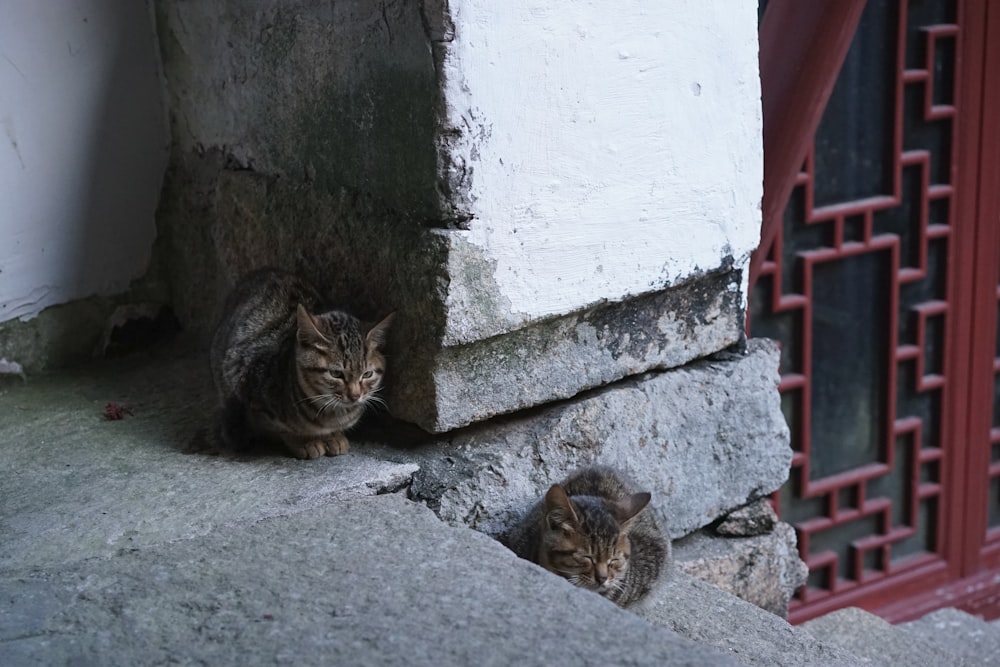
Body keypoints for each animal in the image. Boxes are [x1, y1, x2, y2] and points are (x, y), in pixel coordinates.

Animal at [209, 266, 392, 460]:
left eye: (367, 374)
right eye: (336, 374)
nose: (355, 396)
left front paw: (333, 436)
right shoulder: (245, 383)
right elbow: (283, 429)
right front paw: (305, 441)